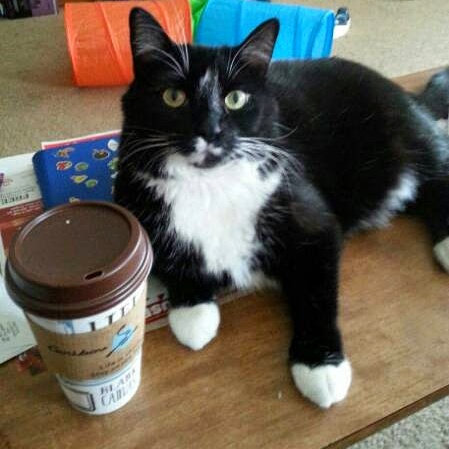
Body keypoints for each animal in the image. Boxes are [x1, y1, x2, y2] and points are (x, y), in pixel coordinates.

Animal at [114, 8, 449, 408]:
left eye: (236, 99)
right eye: (173, 96)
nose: (210, 131)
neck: (208, 184)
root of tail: (405, 94)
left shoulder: (311, 219)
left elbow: (316, 292)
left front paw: (320, 367)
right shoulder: (132, 198)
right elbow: (167, 256)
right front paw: (193, 313)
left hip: (402, 136)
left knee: (437, 172)